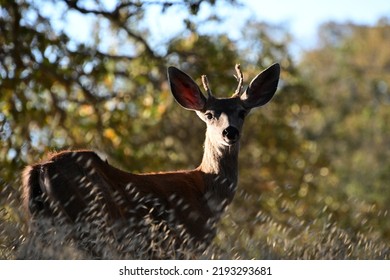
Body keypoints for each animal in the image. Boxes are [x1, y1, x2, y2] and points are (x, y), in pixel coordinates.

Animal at [22, 63, 280, 258]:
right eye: (209, 114)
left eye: (242, 112)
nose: (230, 132)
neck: (207, 193)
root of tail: (41, 168)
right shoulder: (186, 243)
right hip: (88, 223)